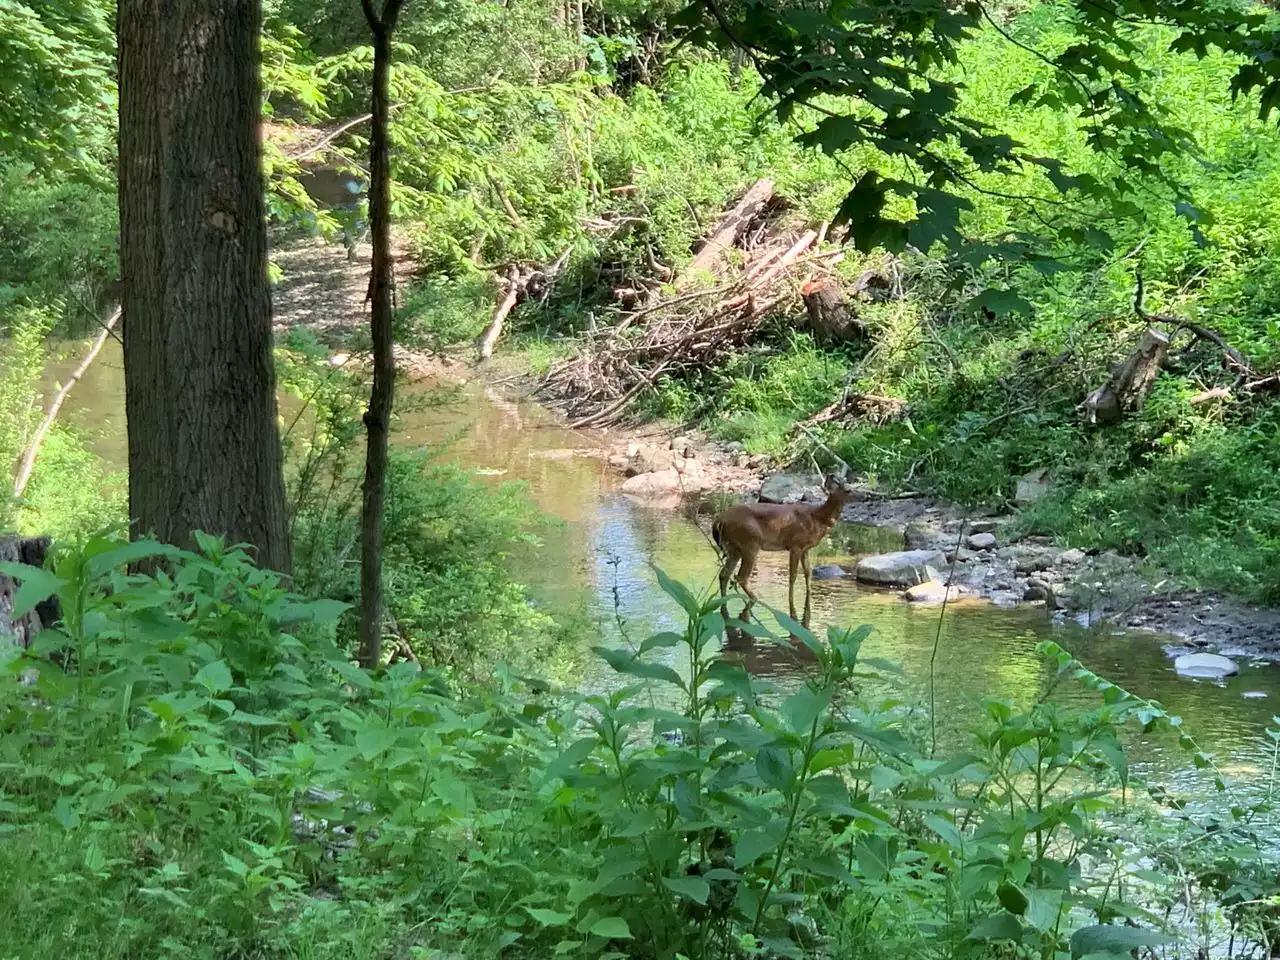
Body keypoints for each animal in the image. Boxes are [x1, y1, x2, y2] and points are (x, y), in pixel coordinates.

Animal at [716, 476, 855, 632]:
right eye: (848, 490)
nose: (866, 496)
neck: (817, 517)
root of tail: (719, 520)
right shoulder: (795, 545)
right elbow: (793, 576)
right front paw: (791, 604)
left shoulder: (805, 548)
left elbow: (808, 573)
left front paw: (808, 594)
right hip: (749, 543)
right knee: (740, 577)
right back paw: (755, 598)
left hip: (734, 547)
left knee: (724, 574)